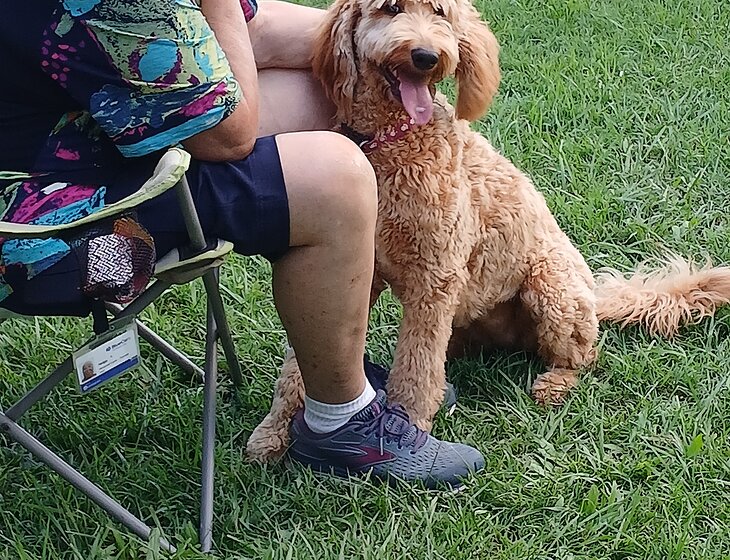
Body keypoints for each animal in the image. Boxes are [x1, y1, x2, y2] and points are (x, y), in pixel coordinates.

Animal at [245, 0, 730, 462]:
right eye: (391, 8)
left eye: (440, 14)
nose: (426, 56)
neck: (393, 140)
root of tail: (595, 295)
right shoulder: (361, 270)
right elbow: (305, 357)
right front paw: (273, 431)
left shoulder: (435, 278)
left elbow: (416, 371)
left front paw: (410, 429)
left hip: (551, 290)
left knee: (584, 355)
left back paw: (555, 383)